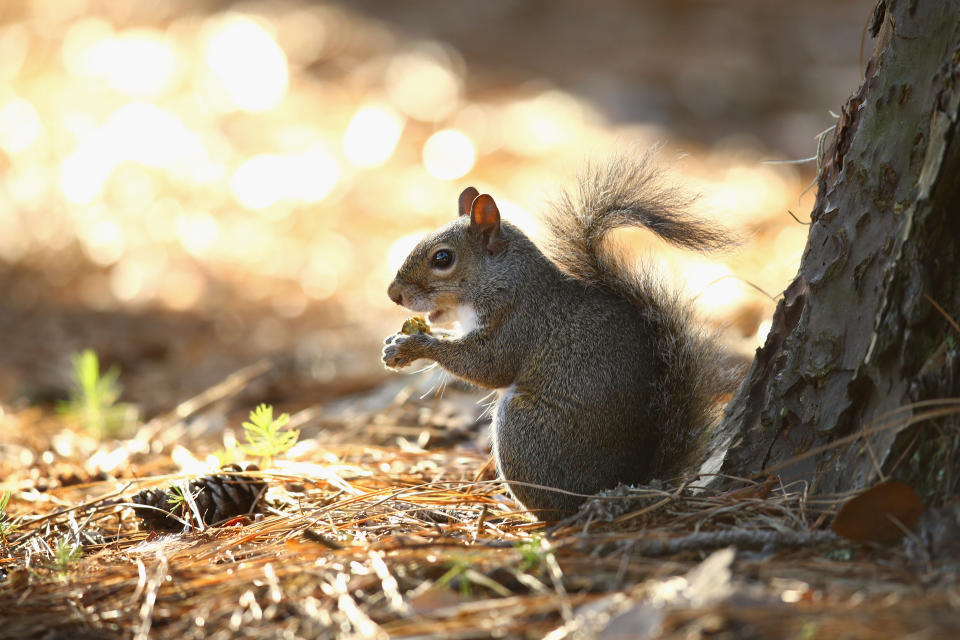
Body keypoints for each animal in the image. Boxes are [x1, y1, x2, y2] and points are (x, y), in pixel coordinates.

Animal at [378, 155, 740, 520]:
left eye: (443, 258)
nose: (393, 294)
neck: (506, 278)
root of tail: (629, 482)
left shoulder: (520, 322)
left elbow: (487, 366)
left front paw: (414, 346)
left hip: (523, 429)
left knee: (553, 508)